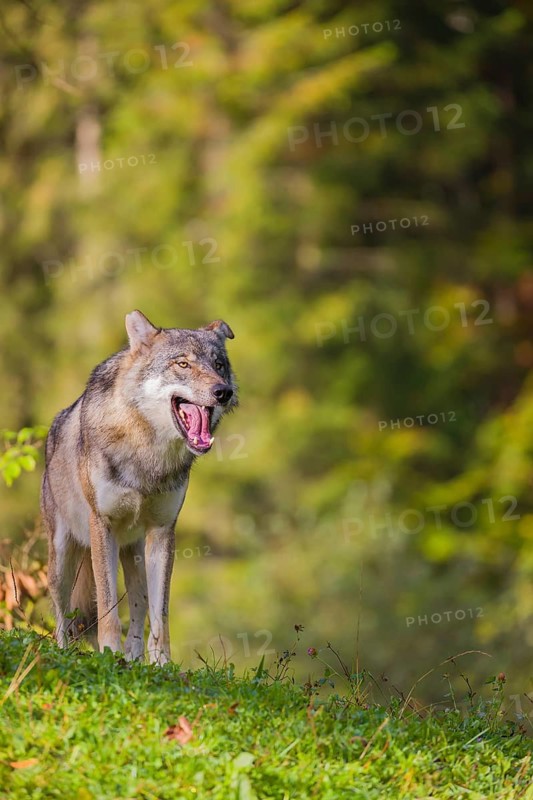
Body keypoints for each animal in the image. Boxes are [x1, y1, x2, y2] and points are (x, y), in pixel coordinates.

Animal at [41, 310, 237, 664]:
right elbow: (107, 607)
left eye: (218, 364)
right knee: (62, 616)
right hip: (63, 558)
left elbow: (160, 613)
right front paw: (108, 652)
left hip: (135, 554)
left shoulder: (162, 531)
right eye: (183, 364)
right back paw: (66, 652)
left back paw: (134, 658)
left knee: (139, 605)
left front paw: (161, 663)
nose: (223, 391)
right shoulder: (101, 526)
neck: (146, 448)